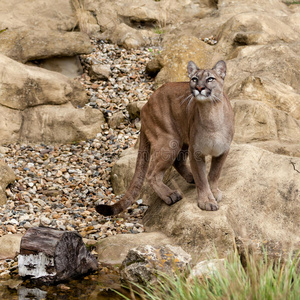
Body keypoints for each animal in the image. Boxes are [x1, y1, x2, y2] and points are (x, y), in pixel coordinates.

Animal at [96, 60, 234, 216]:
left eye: (210, 79)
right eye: (194, 79)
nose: (199, 87)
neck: (211, 114)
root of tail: (146, 104)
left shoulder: (222, 150)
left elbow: (215, 173)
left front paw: (214, 192)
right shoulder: (196, 152)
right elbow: (202, 178)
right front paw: (206, 201)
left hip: (180, 140)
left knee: (178, 162)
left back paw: (189, 179)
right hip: (169, 141)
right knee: (152, 174)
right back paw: (170, 195)